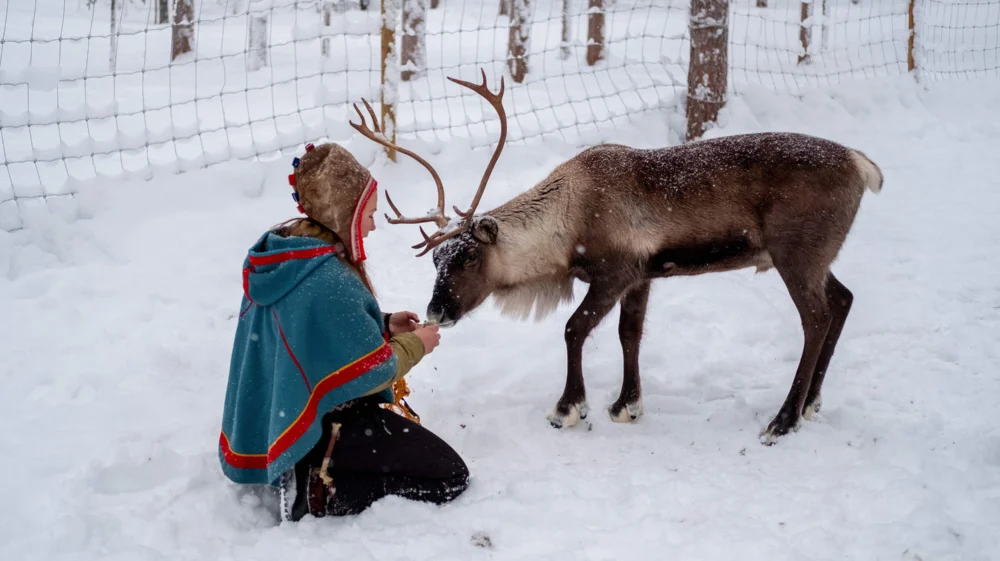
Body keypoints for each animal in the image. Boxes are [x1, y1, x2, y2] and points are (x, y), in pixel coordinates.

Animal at [349, 68, 883, 445]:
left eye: (468, 259)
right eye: (436, 260)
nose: (436, 311)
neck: (568, 222)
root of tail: (863, 165)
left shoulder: (615, 272)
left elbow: (574, 329)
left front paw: (568, 408)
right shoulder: (642, 275)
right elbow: (630, 334)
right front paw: (627, 404)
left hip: (796, 254)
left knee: (815, 317)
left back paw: (783, 420)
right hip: (817, 259)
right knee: (843, 299)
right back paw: (811, 403)